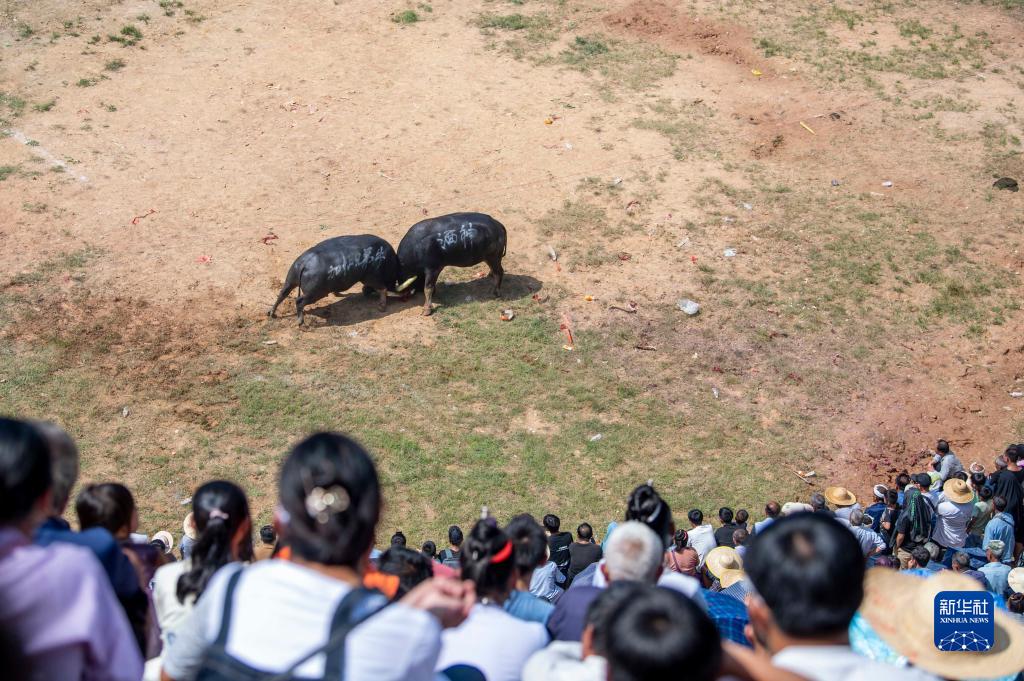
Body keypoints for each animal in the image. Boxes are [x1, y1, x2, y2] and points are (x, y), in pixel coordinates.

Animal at [268, 233, 399, 323]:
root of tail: (304, 264)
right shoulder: (372, 278)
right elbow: (382, 289)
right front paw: (382, 307)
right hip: (314, 293)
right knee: (299, 301)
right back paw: (300, 321)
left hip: (290, 281)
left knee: (282, 294)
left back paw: (271, 313)